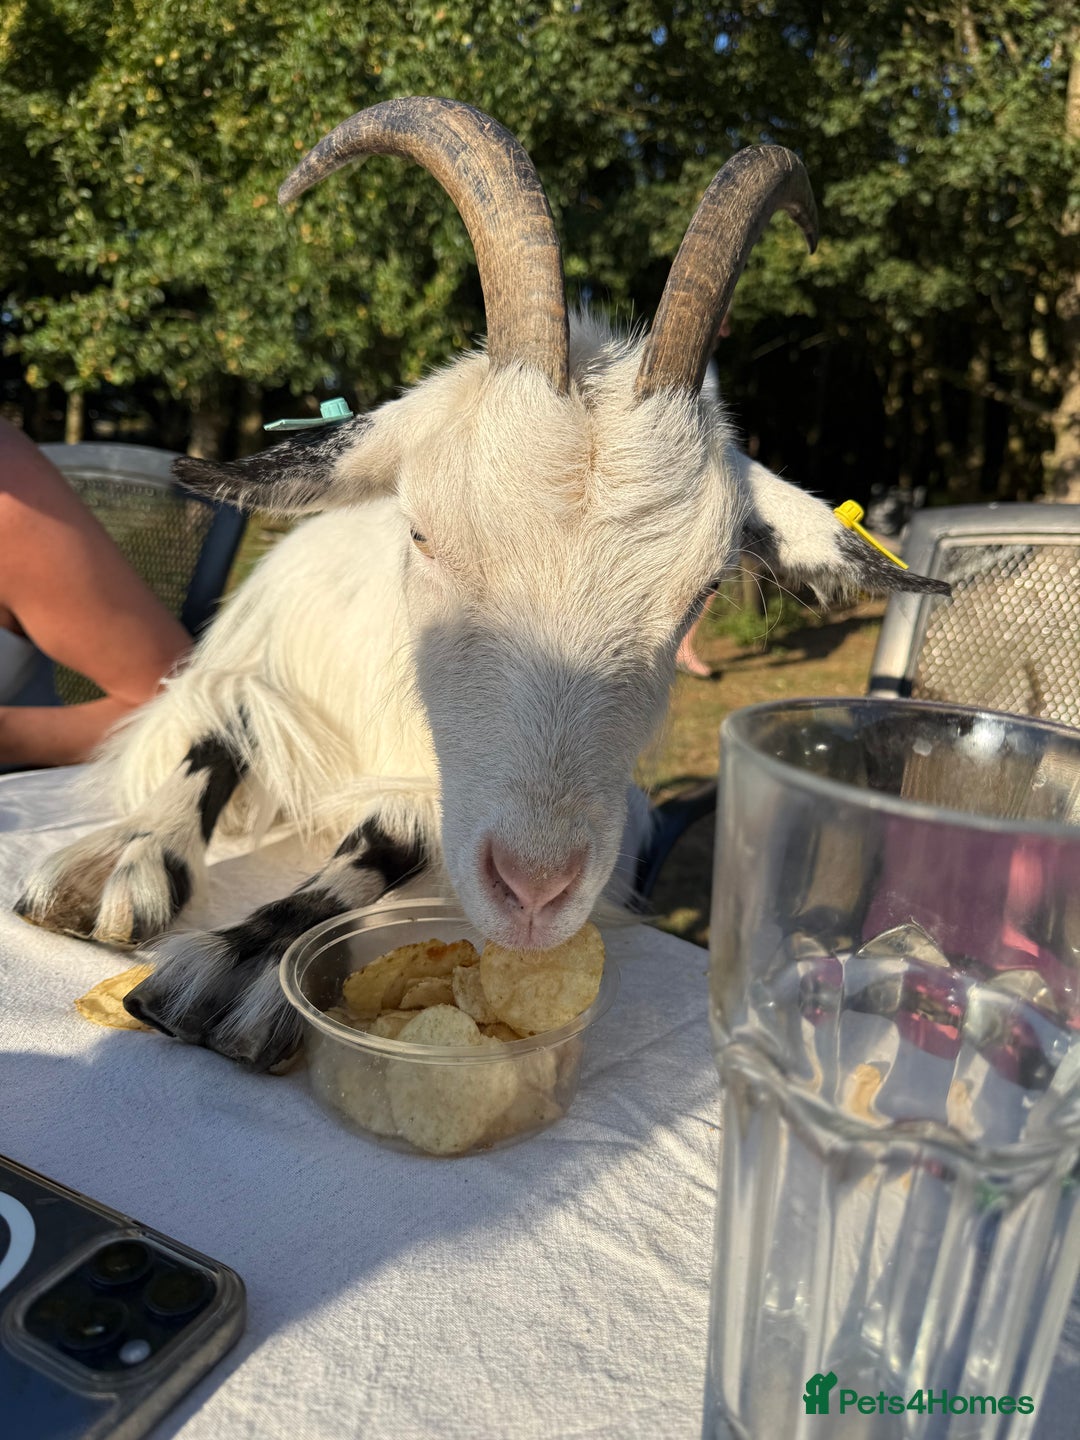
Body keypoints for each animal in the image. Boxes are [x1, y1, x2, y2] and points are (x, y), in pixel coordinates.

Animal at [14, 98, 948, 1070]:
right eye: (423, 532)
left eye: (703, 590)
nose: (535, 892)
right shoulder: (255, 659)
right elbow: (219, 735)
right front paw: (118, 862)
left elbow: (386, 836)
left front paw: (239, 965)